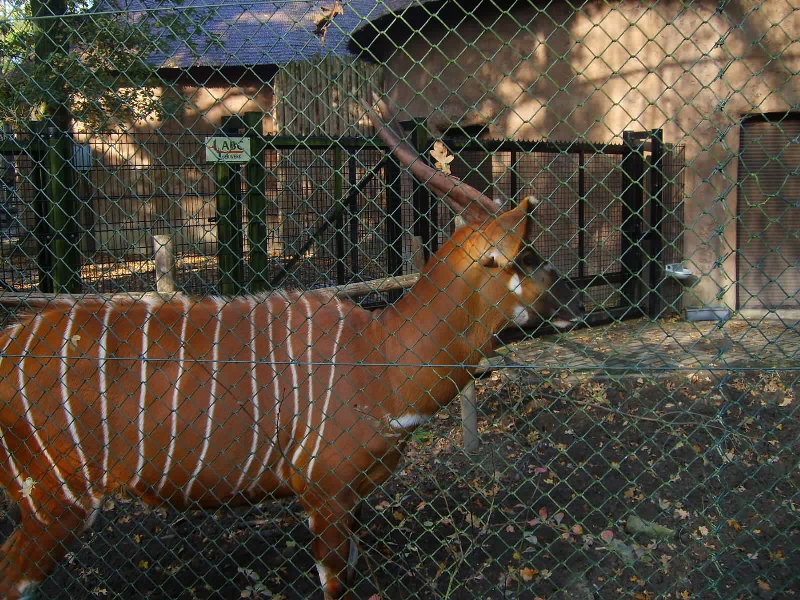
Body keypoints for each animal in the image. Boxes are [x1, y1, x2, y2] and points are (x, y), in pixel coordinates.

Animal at [0, 98, 583, 600]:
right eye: (524, 257)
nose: (575, 302)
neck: (378, 361)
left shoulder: (351, 499)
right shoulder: (324, 495)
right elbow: (334, 582)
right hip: (55, 501)